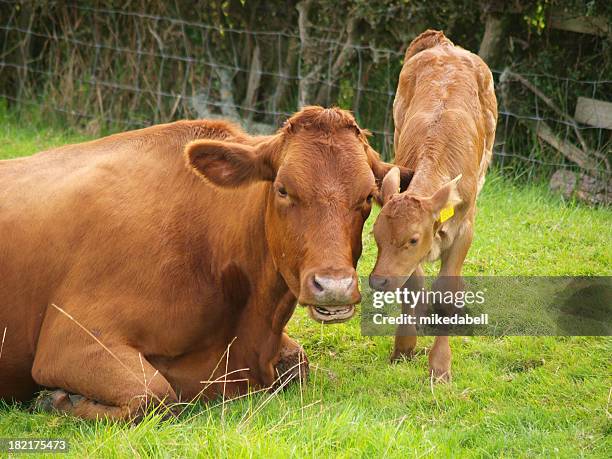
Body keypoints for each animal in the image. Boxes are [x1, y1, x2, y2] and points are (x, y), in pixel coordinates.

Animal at [0, 105, 392, 420]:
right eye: (283, 189)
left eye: (367, 196)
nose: (334, 287)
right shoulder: (70, 341)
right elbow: (154, 395)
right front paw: (56, 400)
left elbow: (299, 363)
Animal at [368, 29, 498, 380]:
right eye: (375, 236)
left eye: (413, 238)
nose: (378, 281)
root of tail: (445, 45)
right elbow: (413, 282)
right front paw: (404, 347)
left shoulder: (464, 229)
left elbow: (447, 291)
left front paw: (440, 366)